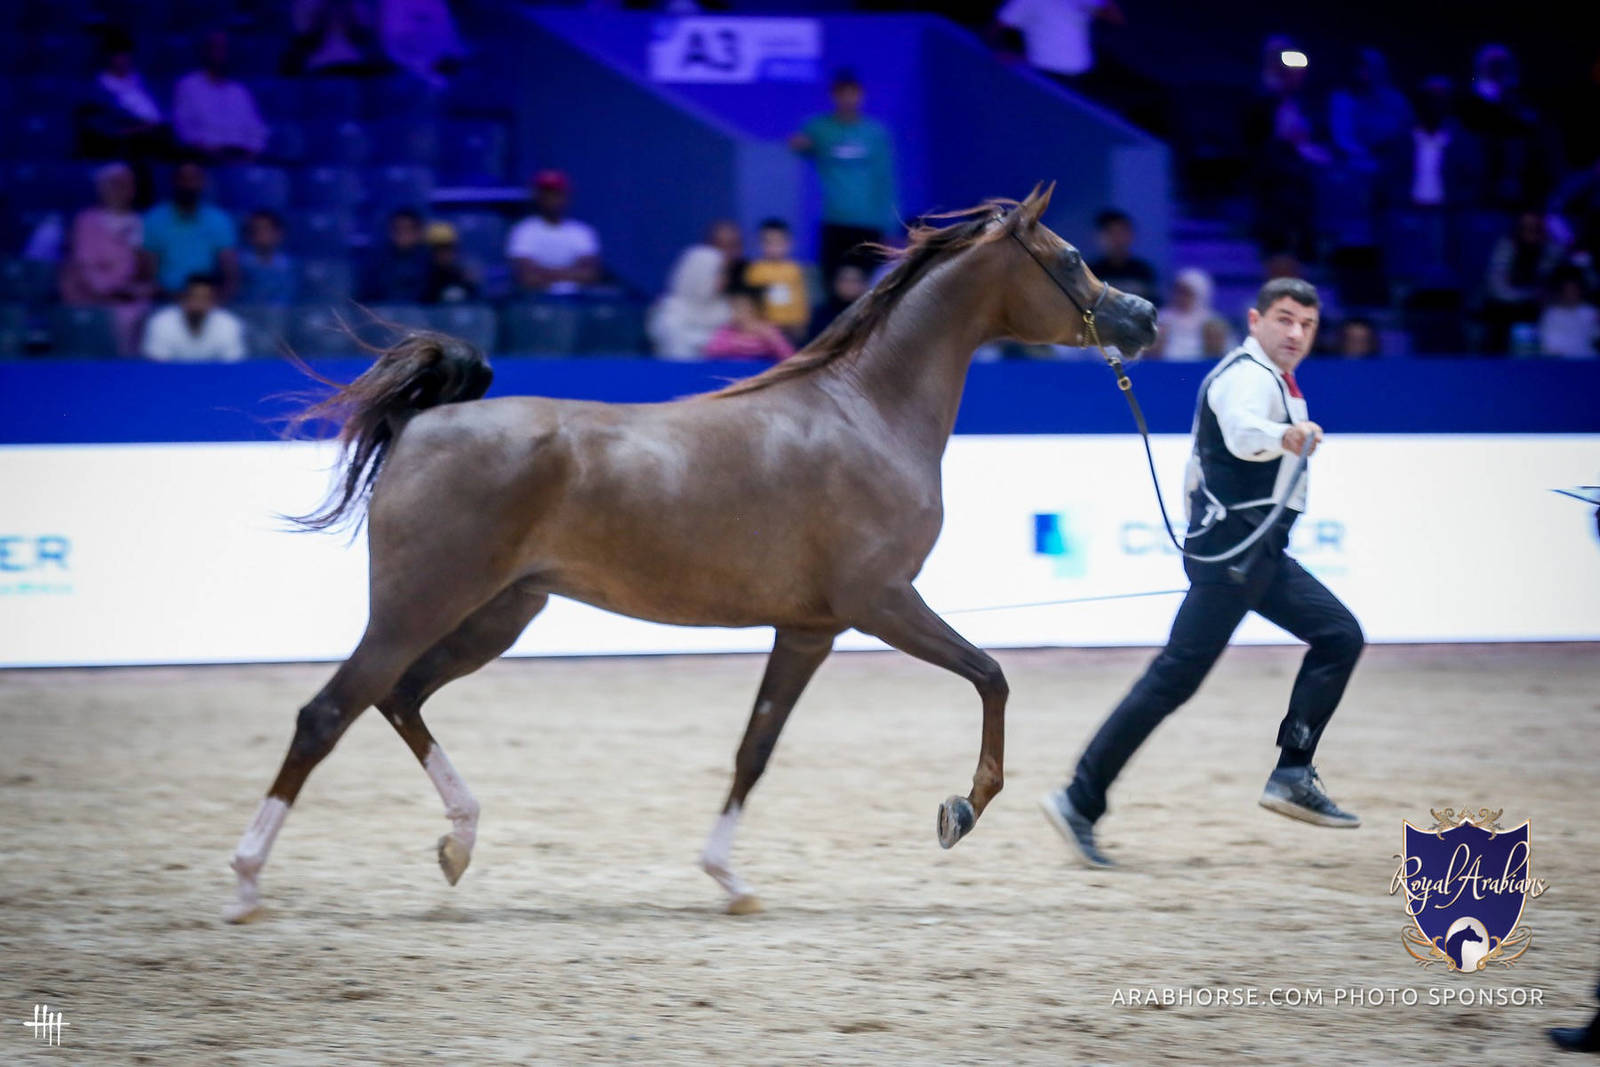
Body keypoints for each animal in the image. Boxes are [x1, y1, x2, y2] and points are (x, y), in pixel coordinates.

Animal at [224, 184, 1158, 922]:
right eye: (1072, 257)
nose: (1143, 318)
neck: (866, 413)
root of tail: (426, 422)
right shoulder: (884, 603)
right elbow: (991, 675)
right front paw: (960, 809)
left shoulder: (810, 628)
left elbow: (756, 746)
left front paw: (727, 878)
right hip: (419, 605)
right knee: (328, 713)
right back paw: (246, 880)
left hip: (498, 613)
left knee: (401, 697)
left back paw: (458, 844)